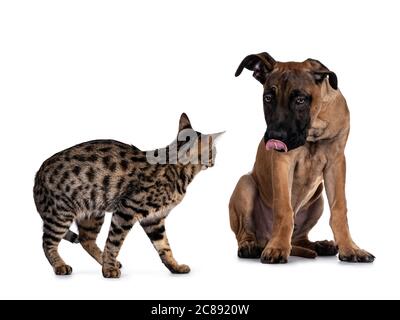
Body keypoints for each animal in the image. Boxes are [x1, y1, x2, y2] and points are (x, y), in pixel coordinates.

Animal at [33, 113, 222, 278]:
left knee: (86, 240)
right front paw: (109, 270)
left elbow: (164, 247)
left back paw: (103, 260)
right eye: (213, 151)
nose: (216, 160)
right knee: (47, 242)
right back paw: (60, 265)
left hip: (92, 214)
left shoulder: (154, 219)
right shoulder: (127, 210)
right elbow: (114, 242)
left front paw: (174, 266)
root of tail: (37, 174)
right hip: (61, 213)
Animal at [228, 52, 376, 262]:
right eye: (268, 98)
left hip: (318, 199)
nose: (275, 137)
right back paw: (251, 246)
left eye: (300, 100)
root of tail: (265, 238)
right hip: (245, 184)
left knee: (299, 238)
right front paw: (278, 247)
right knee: (245, 231)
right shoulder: (283, 162)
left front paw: (350, 248)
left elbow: (339, 209)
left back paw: (320, 246)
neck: (313, 128)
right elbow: (284, 210)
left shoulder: (336, 162)